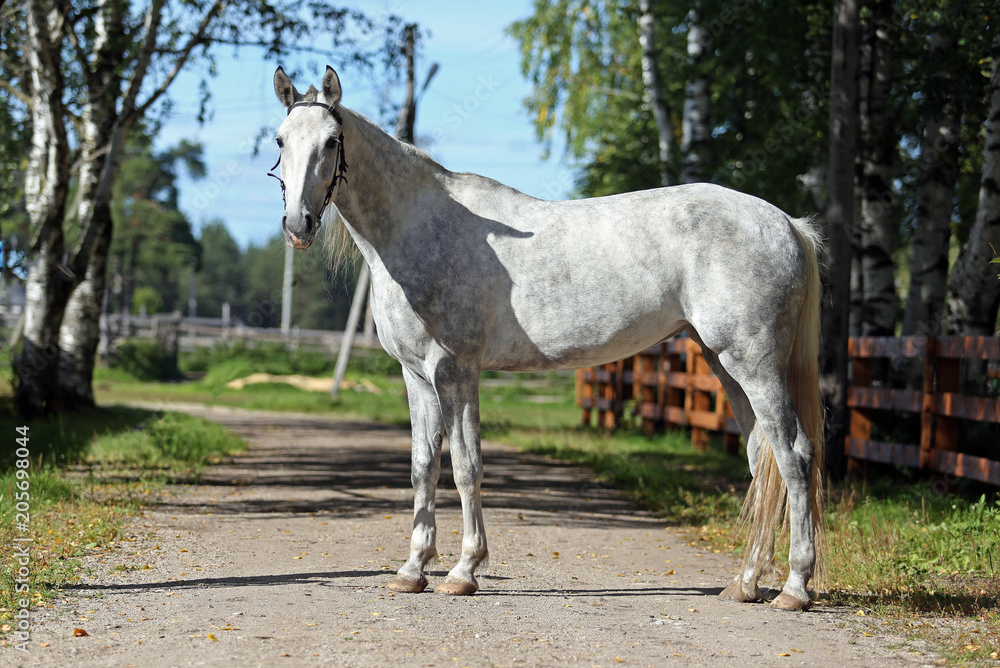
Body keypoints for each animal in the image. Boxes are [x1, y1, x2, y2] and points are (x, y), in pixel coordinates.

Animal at [270, 65, 825, 611]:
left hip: (755, 365)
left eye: (332, 141)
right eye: (280, 140)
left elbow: (466, 466)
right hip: (723, 364)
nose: (298, 224)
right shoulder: (416, 376)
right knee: (761, 460)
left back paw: (794, 588)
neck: (417, 228)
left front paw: (464, 571)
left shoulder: (454, 372)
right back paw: (746, 583)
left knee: (795, 456)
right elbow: (423, 467)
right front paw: (412, 571)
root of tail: (787, 223)